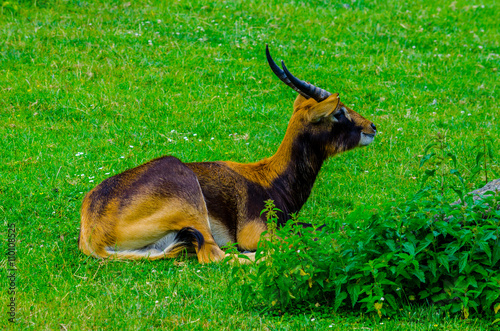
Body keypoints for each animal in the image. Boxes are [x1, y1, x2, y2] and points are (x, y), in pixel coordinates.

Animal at [78, 46, 376, 264]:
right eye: (339, 112)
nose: (372, 127)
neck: (270, 179)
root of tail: (93, 233)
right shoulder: (257, 234)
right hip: (192, 207)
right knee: (216, 256)